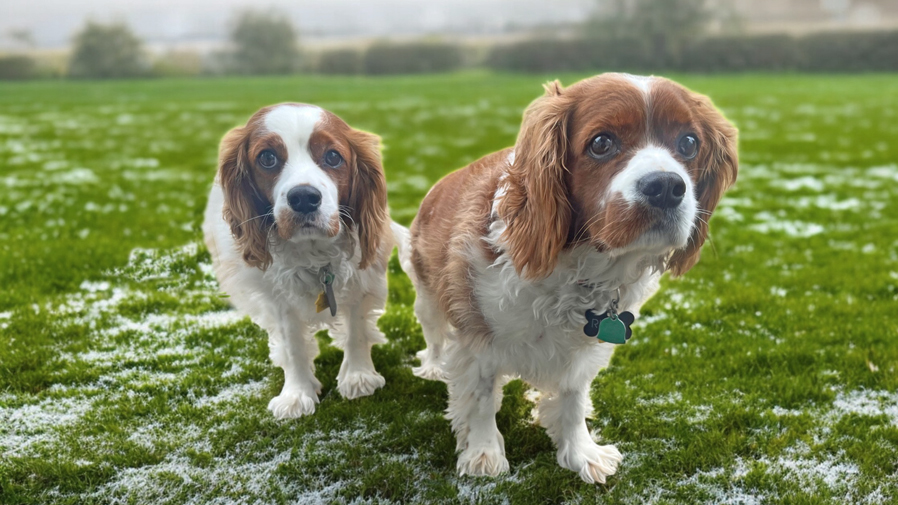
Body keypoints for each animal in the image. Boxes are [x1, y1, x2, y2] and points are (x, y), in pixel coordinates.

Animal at [203, 104, 400, 420]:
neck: (314, 255)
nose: (304, 197)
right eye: (267, 158)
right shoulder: (279, 300)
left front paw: (358, 376)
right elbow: (293, 345)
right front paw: (297, 393)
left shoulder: (363, 280)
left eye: (333, 156)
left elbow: (356, 329)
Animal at [400, 74, 736, 480]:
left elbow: (572, 401)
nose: (667, 187)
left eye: (689, 143)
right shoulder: (475, 335)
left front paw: (581, 453)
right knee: (434, 336)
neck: (579, 267)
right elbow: (481, 399)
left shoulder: (583, 351)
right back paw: (434, 367)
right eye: (601, 143)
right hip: (428, 297)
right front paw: (483, 454)